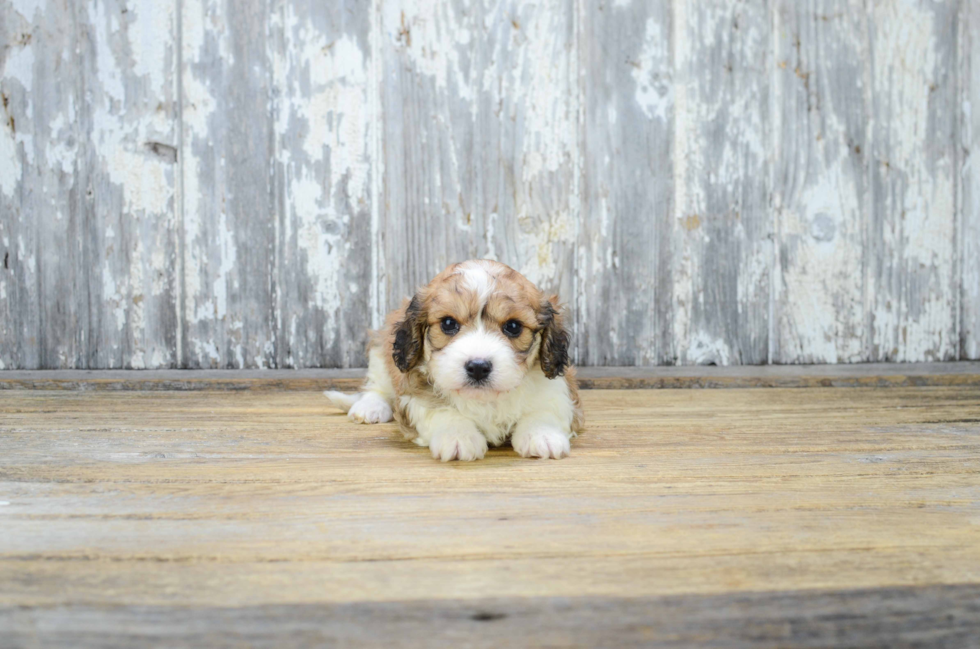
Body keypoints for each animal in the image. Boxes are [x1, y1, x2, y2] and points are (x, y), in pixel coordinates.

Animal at [326, 258, 580, 460]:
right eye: (448, 323)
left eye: (514, 327)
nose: (478, 367)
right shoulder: (415, 391)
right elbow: (440, 411)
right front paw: (458, 437)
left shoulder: (558, 388)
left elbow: (545, 408)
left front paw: (542, 434)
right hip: (381, 351)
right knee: (377, 385)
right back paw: (370, 406)